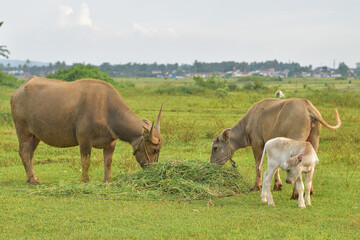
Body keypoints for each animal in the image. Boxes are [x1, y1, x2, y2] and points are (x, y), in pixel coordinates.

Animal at [10, 77, 163, 184]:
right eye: (155, 150)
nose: (153, 170)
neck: (107, 110)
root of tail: (17, 92)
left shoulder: (110, 143)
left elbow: (108, 161)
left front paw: (107, 180)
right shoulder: (84, 140)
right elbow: (86, 160)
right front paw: (85, 179)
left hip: (35, 135)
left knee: (30, 153)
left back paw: (32, 177)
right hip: (22, 130)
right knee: (24, 152)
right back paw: (33, 180)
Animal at [208, 97, 340, 199]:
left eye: (215, 148)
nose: (211, 164)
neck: (247, 124)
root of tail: (307, 105)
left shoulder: (257, 144)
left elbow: (258, 165)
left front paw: (256, 186)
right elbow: (276, 166)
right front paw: (277, 185)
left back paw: (295, 194)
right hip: (314, 140)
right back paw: (310, 191)